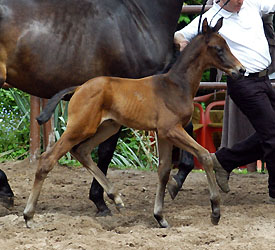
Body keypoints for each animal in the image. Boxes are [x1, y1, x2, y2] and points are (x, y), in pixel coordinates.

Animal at [24, 18, 246, 228]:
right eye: (218, 49)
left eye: (227, 45)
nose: (241, 69)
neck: (176, 85)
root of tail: (78, 88)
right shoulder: (171, 130)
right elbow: (205, 155)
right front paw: (215, 211)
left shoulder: (163, 134)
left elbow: (164, 170)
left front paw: (160, 217)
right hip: (80, 127)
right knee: (48, 159)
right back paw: (28, 215)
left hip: (108, 126)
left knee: (82, 151)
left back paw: (116, 198)